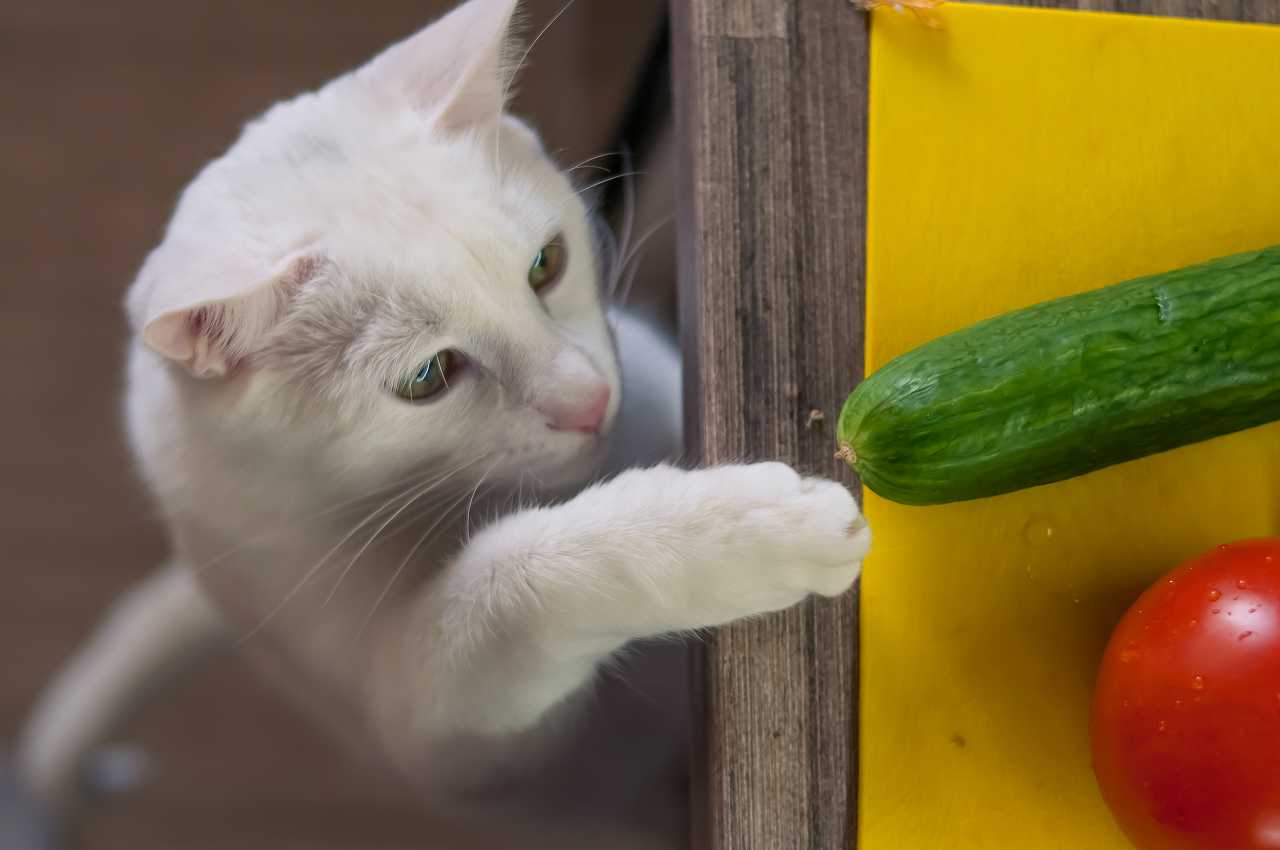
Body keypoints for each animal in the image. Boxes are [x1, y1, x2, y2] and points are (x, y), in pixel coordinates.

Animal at [15, 3, 870, 844]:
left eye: (546, 265)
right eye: (426, 377)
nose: (590, 399)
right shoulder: (440, 731)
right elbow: (503, 582)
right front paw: (752, 529)